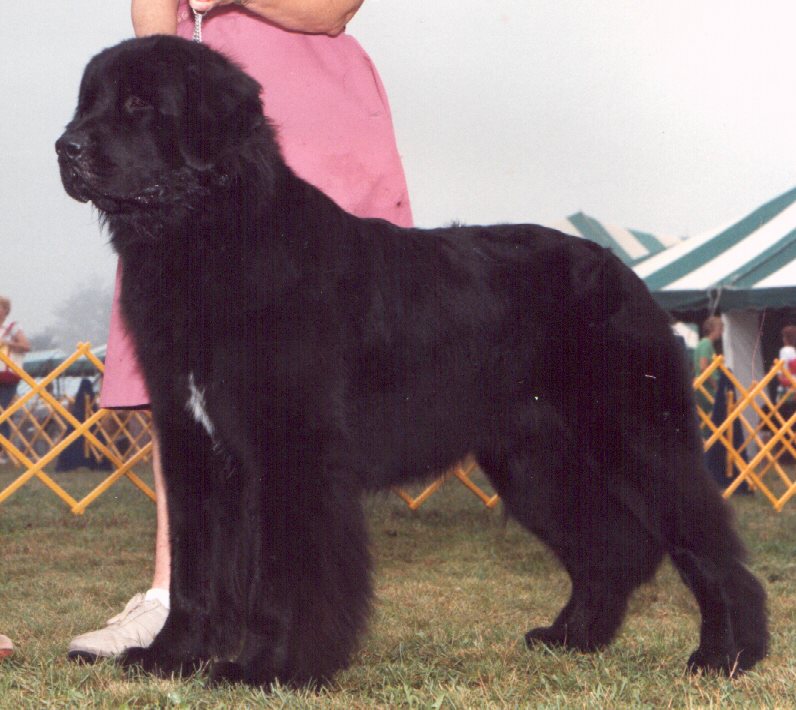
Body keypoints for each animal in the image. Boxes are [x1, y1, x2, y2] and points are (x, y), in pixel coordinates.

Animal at [57, 36, 767, 686]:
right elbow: (196, 568)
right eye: (87, 103)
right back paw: (572, 638)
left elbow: (289, 573)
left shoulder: (294, 449)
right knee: (609, 548)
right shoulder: (193, 444)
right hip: (534, 461)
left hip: (636, 437)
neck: (205, 239)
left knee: (705, 541)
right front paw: (171, 658)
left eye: (140, 103)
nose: (66, 148)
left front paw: (270, 667)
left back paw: (727, 655)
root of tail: (622, 270)